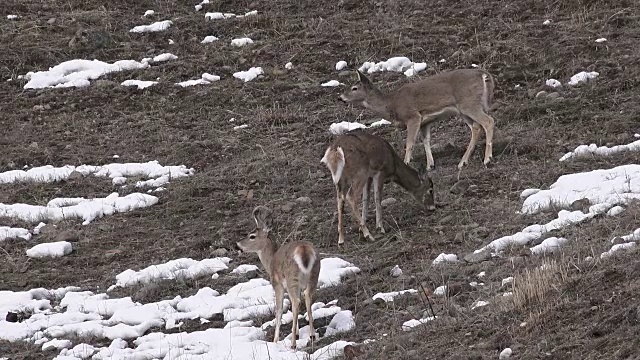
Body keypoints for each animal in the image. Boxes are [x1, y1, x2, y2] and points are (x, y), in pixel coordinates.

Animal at [235, 205, 320, 348]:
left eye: (252, 236)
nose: (237, 245)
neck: (270, 261)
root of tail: (304, 250)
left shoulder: (277, 284)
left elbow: (279, 310)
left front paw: (275, 340)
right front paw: (297, 332)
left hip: (292, 278)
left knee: (296, 302)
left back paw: (293, 344)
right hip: (314, 274)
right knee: (307, 297)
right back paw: (312, 335)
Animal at [338, 68, 498, 173]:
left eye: (354, 88)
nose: (340, 98)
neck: (391, 104)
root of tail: (484, 75)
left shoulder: (413, 116)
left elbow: (410, 143)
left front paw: (406, 163)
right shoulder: (425, 122)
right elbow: (426, 140)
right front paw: (430, 165)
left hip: (468, 103)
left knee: (488, 121)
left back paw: (487, 159)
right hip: (463, 110)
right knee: (476, 127)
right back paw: (462, 162)